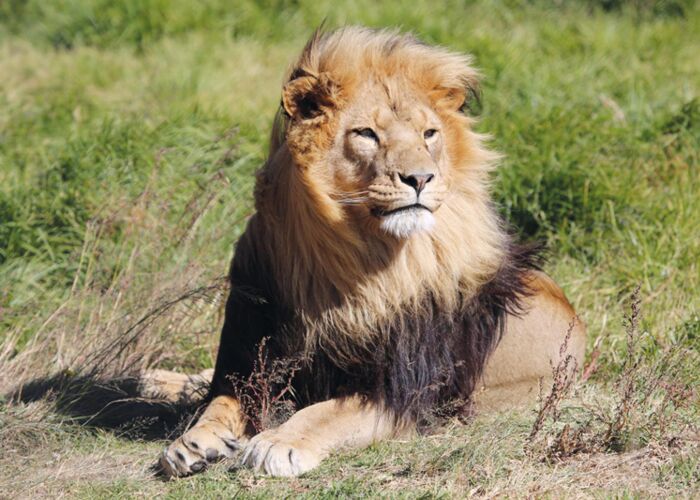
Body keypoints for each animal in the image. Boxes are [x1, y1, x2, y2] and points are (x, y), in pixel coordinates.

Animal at [155, 27, 586, 478]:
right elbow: (221, 400)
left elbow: (327, 412)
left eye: (429, 134)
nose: (421, 178)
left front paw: (278, 441)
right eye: (366, 134)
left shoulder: (402, 391)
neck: (355, 264)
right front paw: (191, 441)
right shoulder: (250, 353)